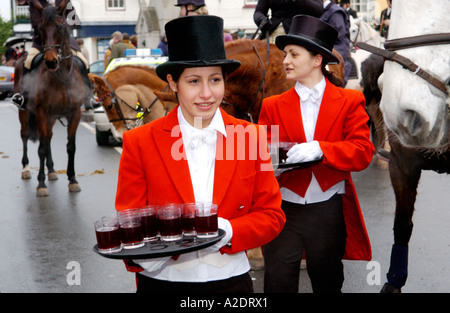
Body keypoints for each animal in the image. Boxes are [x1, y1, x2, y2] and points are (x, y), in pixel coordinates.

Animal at [14, 2, 84, 196]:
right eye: (41, 29)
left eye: (60, 28)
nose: (51, 61)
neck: (62, 77)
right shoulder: (41, 112)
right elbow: (42, 148)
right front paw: (41, 184)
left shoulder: (74, 113)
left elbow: (71, 146)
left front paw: (72, 180)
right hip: (25, 113)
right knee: (26, 135)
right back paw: (26, 169)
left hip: (52, 117)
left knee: (49, 137)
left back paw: (52, 171)